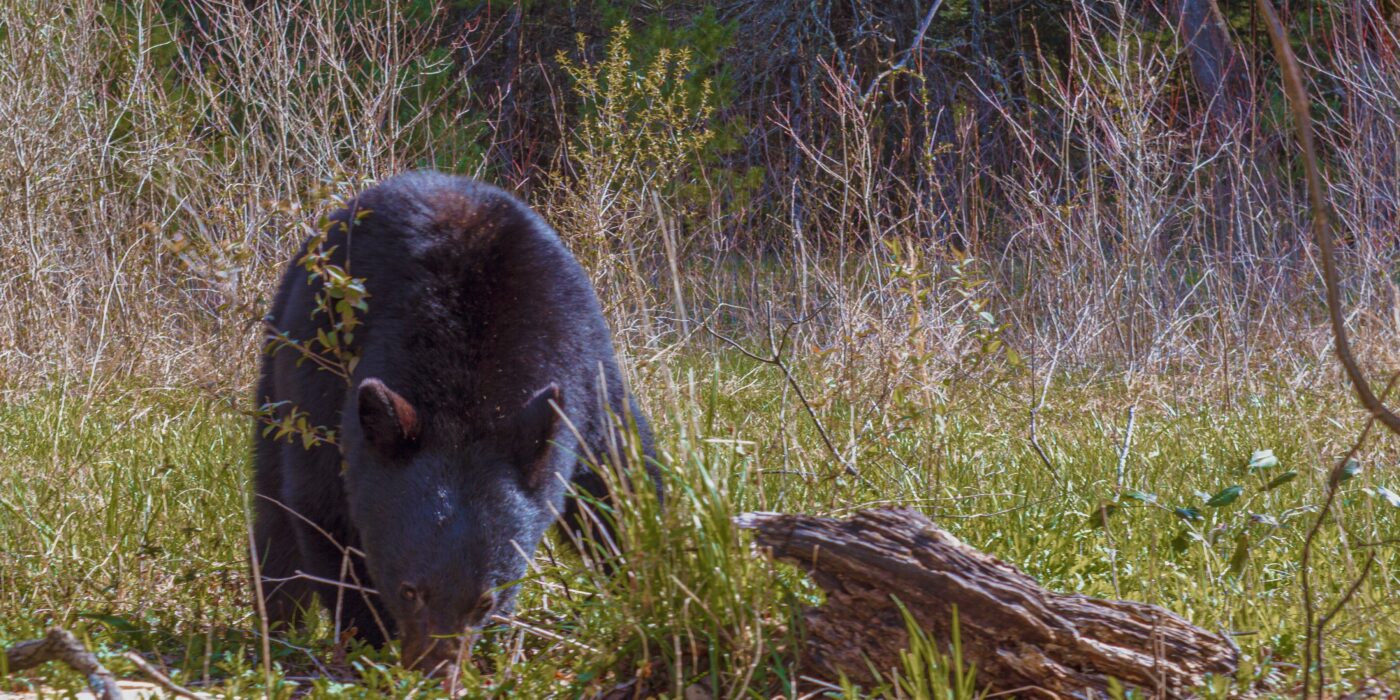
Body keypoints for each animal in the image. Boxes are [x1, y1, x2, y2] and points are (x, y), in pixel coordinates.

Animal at [251, 171, 659, 673]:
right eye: (409, 590)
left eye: (485, 601)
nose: (436, 674)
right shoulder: (326, 394)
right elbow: (323, 511)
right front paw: (372, 639)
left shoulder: (586, 383)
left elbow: (621, 485)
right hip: (280, 355)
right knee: (272, 503)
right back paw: (279, 627)